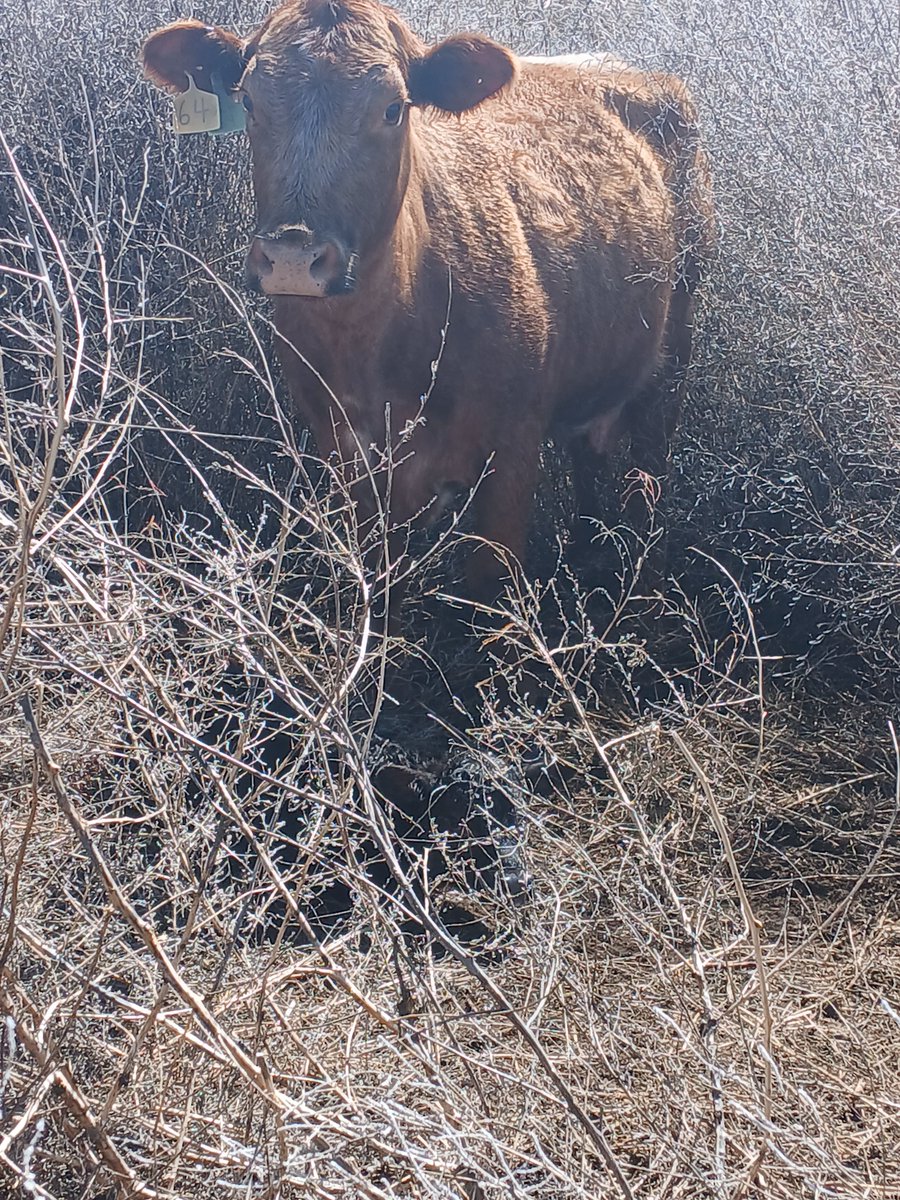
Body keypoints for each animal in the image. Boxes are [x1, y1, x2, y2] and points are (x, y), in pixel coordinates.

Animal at [142, 1, 713, 620]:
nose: (293, 256)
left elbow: (488, 600)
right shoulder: (343, 458)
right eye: (248, 101)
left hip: (674, 355)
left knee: (648, 485)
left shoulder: (512, 453)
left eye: (393, 109)